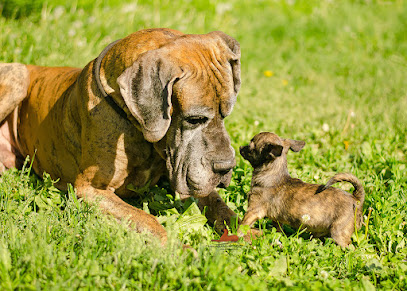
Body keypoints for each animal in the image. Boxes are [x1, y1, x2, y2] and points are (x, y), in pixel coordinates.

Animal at [0, 28, 242, 244]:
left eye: (225, 114)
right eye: (194, 119)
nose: (225, 167)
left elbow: (217, 203)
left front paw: (244, 231)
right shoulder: (90, 189)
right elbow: (147, 219)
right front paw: (179, 250)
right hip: (19, 74)